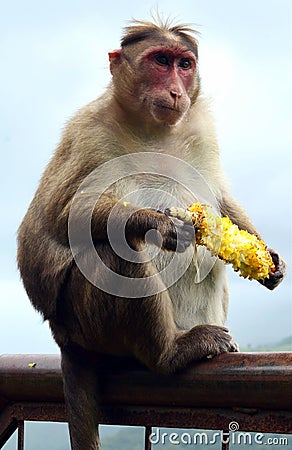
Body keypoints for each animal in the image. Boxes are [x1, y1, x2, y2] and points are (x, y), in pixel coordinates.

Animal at [17, 18, 286, 450]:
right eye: (160, 61)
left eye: (184, 64)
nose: (176, 90)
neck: (153, 129)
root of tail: (64, 339)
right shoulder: (88, 130)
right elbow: (63, 217)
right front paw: (157, 223)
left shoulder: (201, 125)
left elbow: (219, 198)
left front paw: (270, 261)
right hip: (86, 325)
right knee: (117, 251)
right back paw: (170, 352)